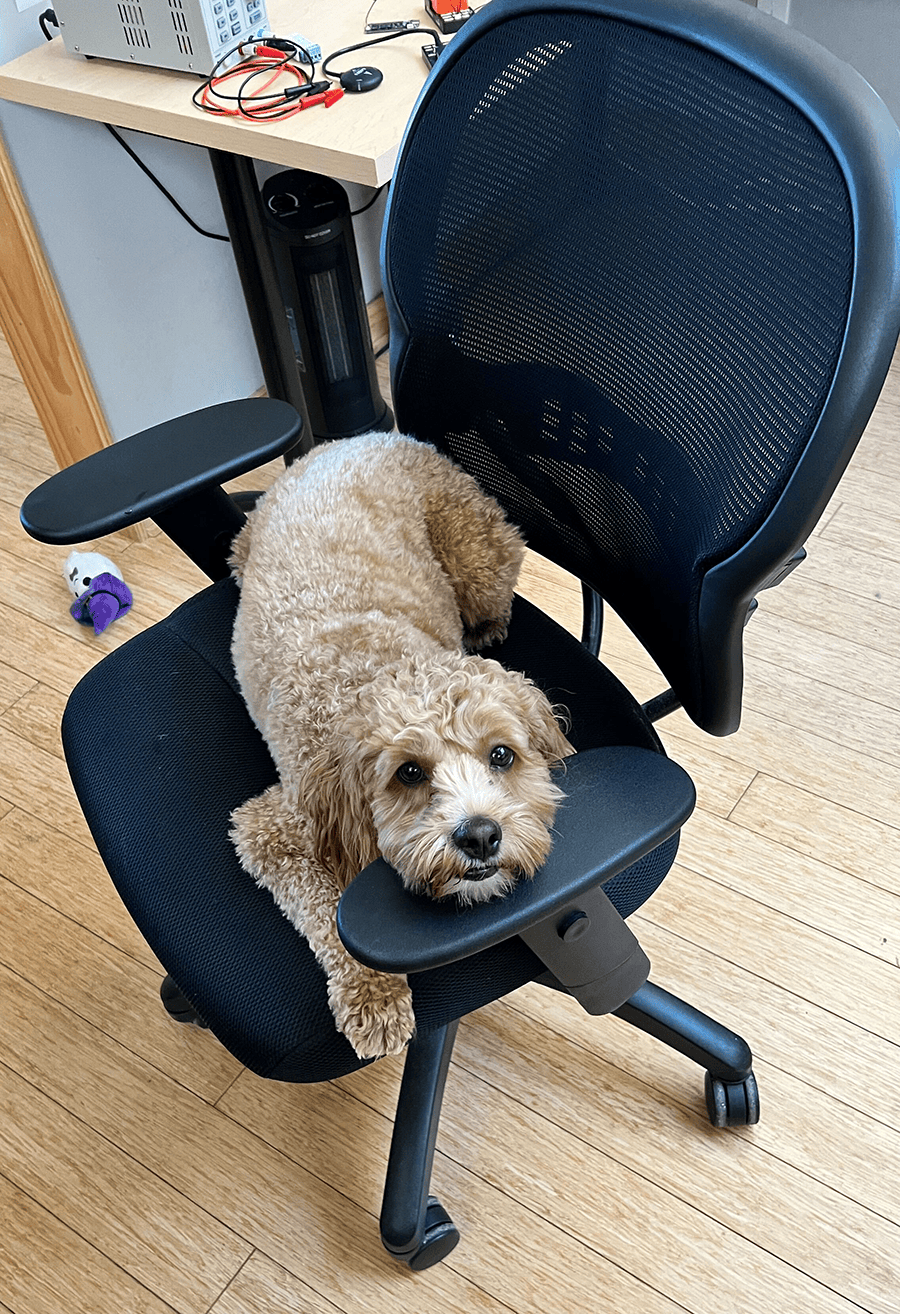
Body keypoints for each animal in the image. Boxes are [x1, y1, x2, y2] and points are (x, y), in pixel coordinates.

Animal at [228, 436, 572, 1061]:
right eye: (409, 773)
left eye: (501, 756)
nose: (480, 835)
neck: (375, 672)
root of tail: (363, 437)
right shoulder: (273, 828)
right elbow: (330, 913)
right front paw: (375, 996)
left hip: (476, 558)